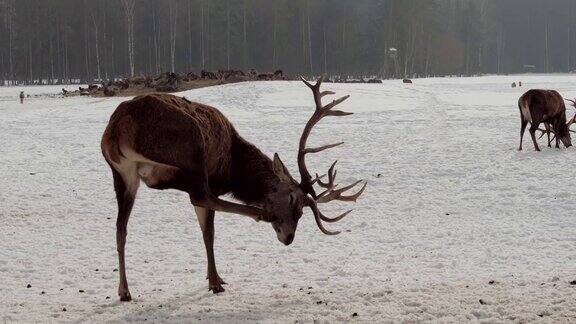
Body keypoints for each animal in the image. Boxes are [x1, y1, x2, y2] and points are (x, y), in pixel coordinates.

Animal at [101, 76, 366, 302]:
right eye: (293, 199)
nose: (289, 238)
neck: (234, 169)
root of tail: (120, 128)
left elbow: (204, 231)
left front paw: (214, 277)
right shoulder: (214, 181)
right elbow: (209, 232)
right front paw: (215, 281)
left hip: (123, 173)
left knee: (120, 227)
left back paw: (124, 290)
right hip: (192, 151)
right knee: (202, 197)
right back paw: (260, 214)